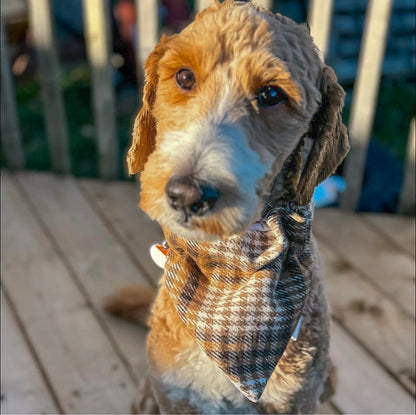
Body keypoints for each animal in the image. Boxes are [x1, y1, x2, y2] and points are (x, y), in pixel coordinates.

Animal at [106, 1, 348, 414]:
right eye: (184, 77)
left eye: (271, 94)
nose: (187, 194)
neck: (227, 273)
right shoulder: (173, 396)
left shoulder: (297, 400)